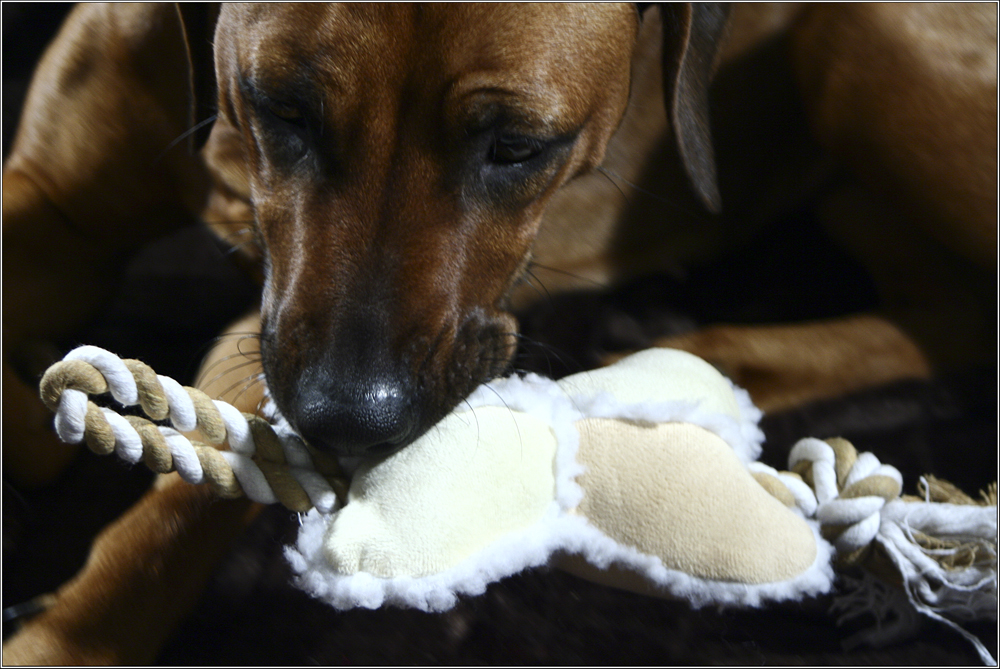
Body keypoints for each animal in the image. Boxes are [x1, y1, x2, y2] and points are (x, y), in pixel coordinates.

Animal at [3, 3, 996, 664]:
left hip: (857, 42)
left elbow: (190, 491)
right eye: (281, 106)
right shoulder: (52, 202)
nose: (348, 423)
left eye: (519, 147)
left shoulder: (272, 318)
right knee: (944, 308)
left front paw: (67, 632)